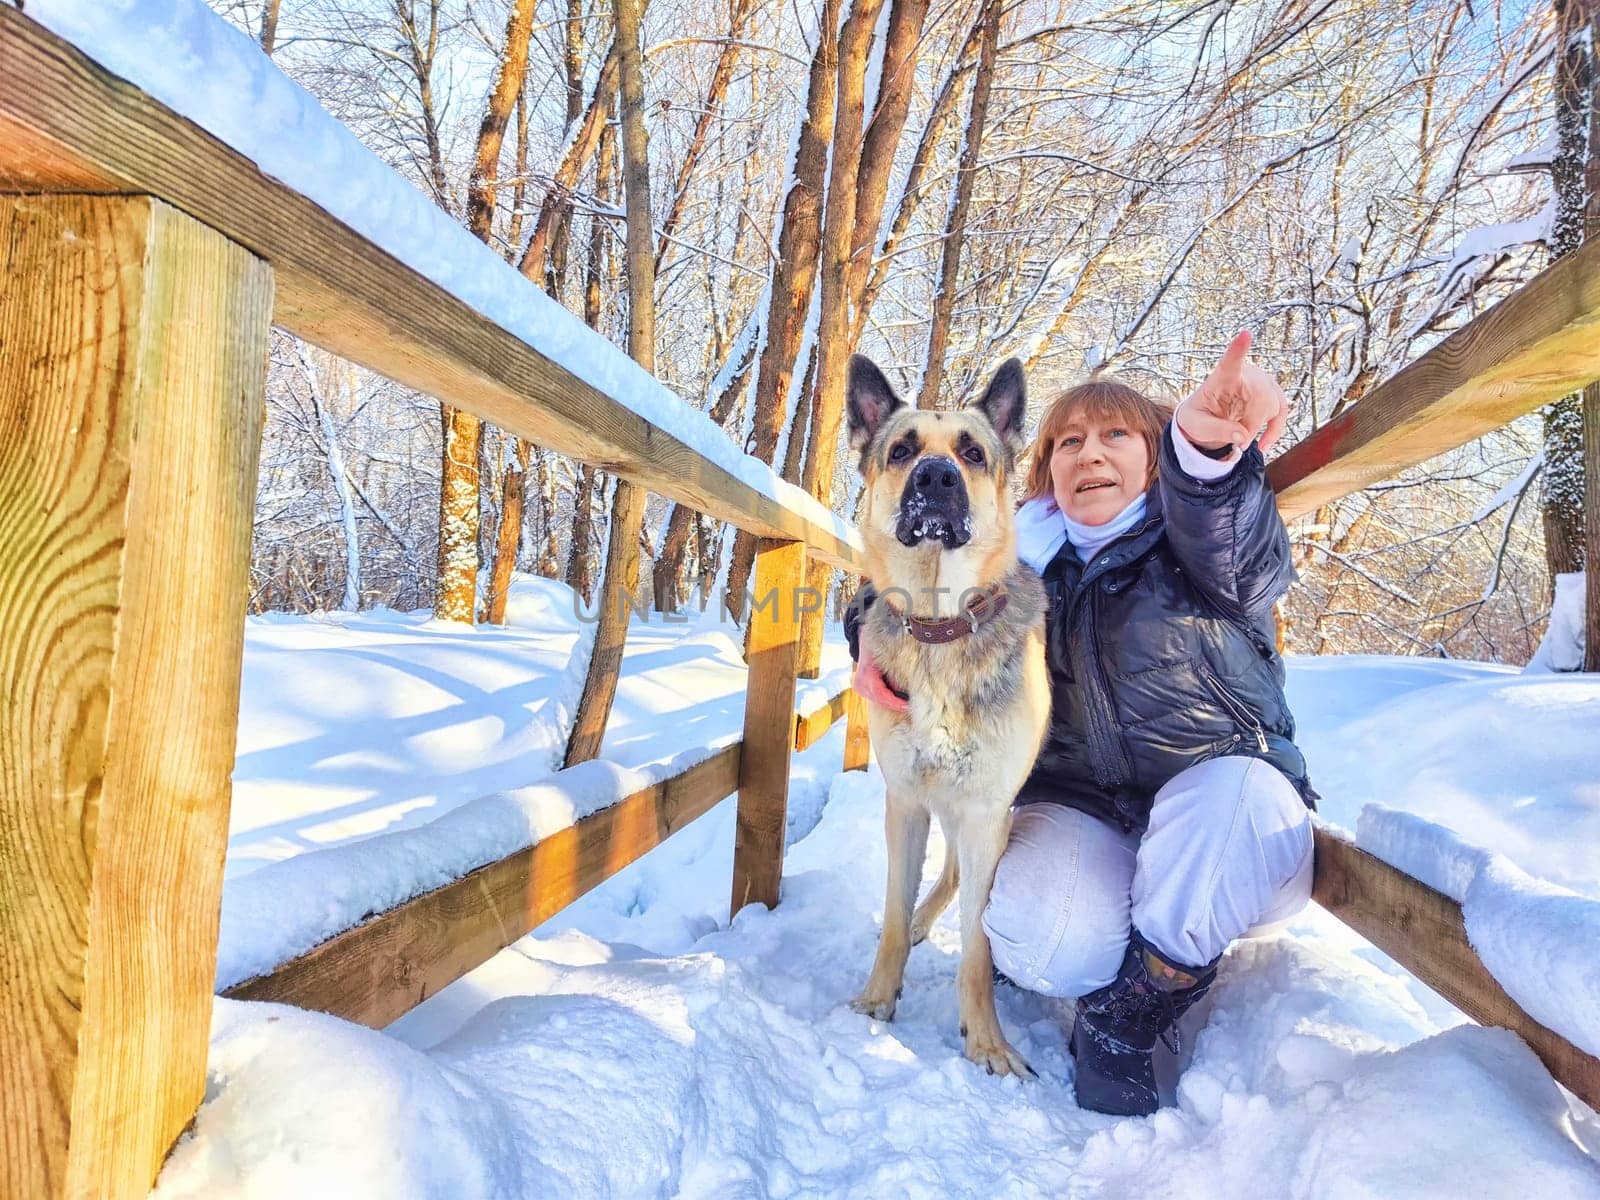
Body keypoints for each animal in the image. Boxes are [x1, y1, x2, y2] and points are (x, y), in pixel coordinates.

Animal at [844, 356, 1056, 1081]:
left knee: (961, 878)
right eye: (902, 450)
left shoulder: (988, 812)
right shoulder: (906, 803)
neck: (939, 628)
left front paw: (987, 1041)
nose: (936, 478)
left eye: (972, 453)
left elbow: (979, 949)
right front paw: (875, 1001)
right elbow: (887, 914)